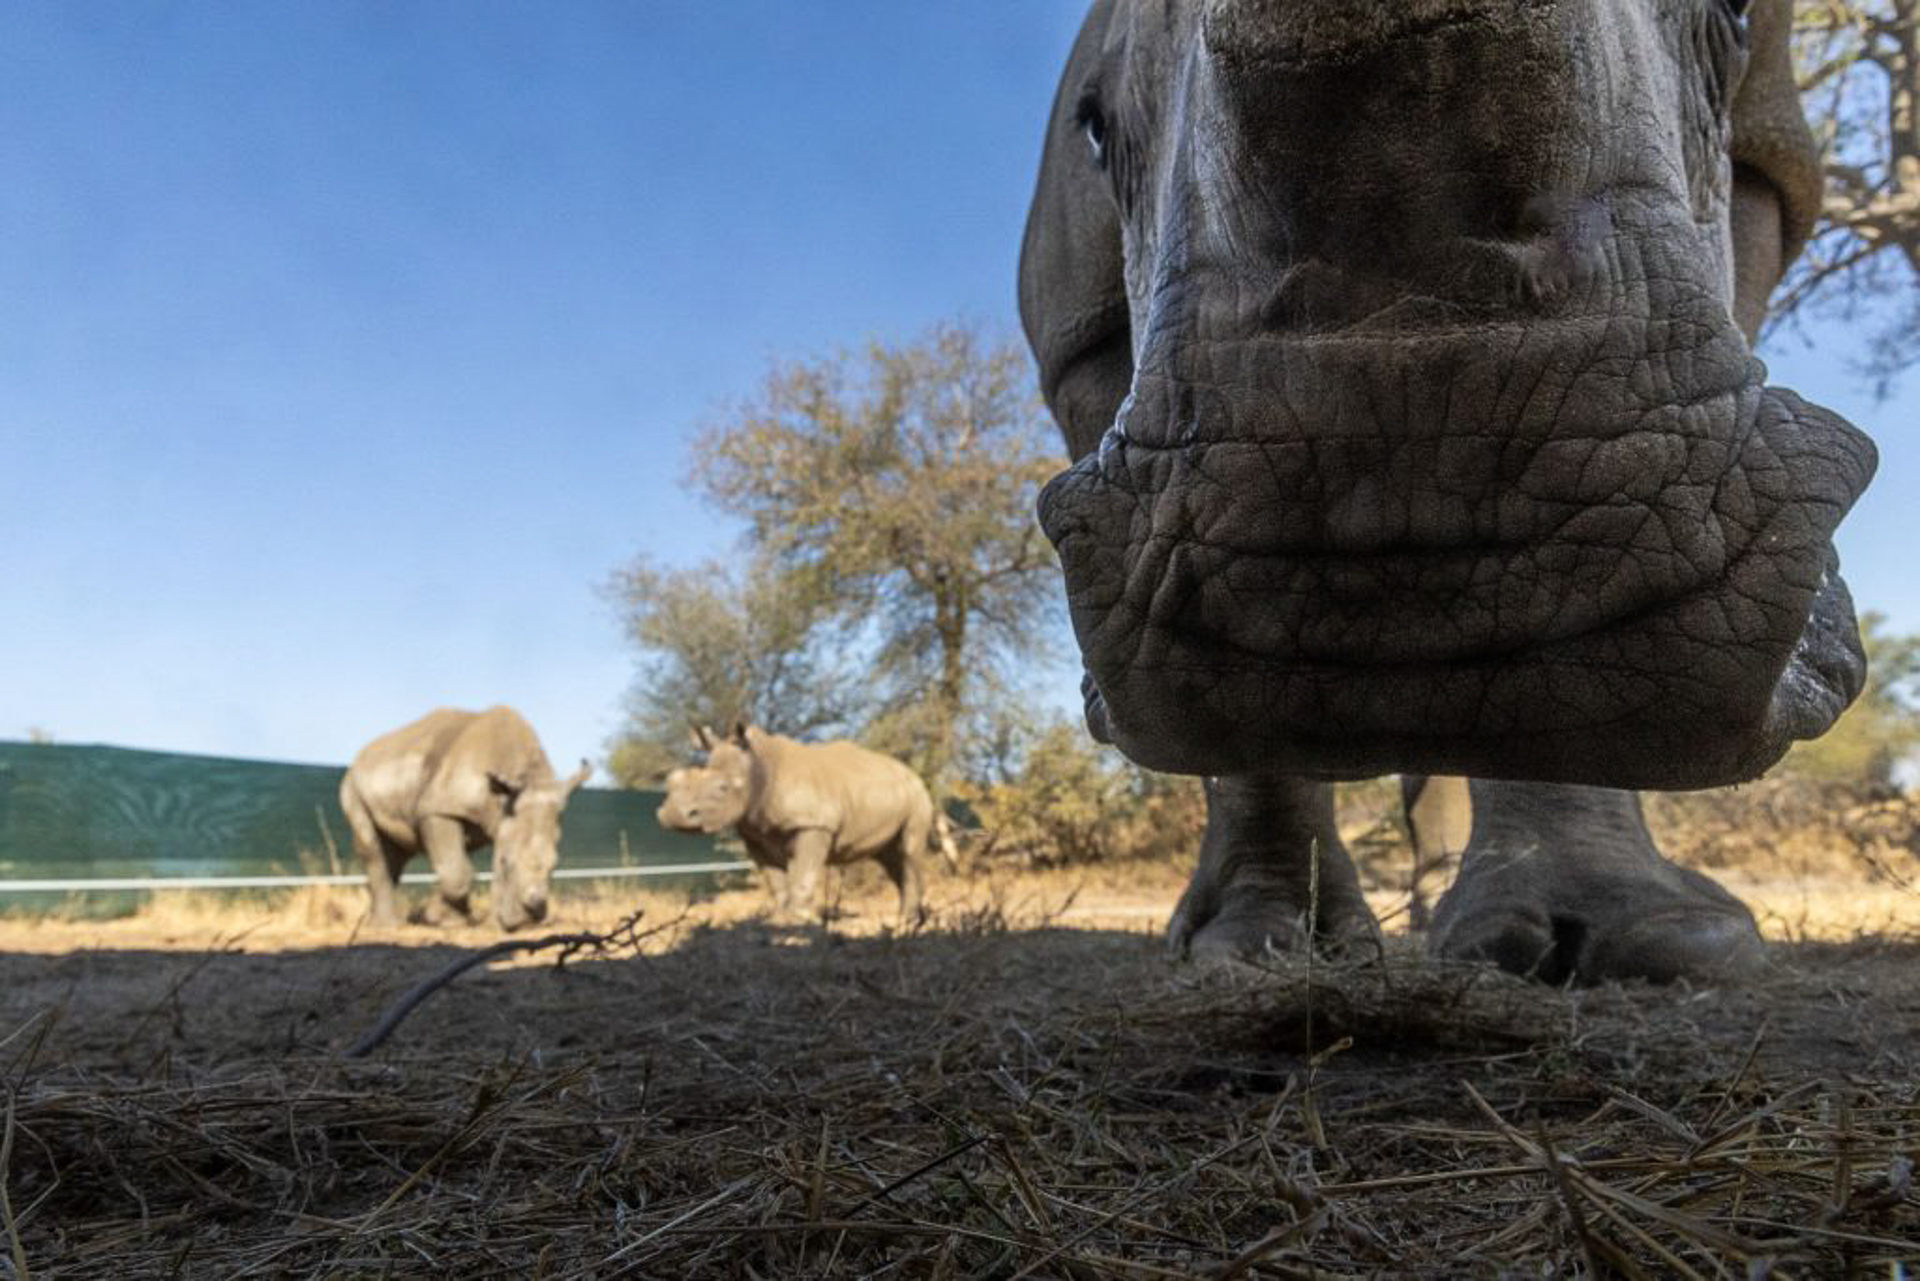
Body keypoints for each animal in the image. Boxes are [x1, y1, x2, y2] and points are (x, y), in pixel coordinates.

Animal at [340, 706, 590, 931]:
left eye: (555, 866)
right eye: (505, 863)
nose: (532, 917)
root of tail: (361, 755)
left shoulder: (500, 818)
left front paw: (478, 922)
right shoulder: (438, 809)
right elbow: (456, 872)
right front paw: (440, 919)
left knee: (396, 853)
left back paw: (376, 920)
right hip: (352, 785)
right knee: (373, 847)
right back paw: (387, 926)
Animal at [656, 723, 957, 924]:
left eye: (722, 788)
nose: (673, 814)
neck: (759, 769)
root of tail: (912, 773)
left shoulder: (813, 825)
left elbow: (803, 874)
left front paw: (798, 920)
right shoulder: (754, 832)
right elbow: (774, 879)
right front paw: (778, 919)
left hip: (917, 797)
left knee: (908, 850)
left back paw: (904, 922)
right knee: (891, 858)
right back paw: (917, 919)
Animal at [1021, 0, 1877, 980]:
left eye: (1738, 19)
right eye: (1092, 128)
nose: (1430, 482)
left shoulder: (1770, 171)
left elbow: (1567, 675)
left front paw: (1660, 943)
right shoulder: (1080, 342)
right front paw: (1246, 948)